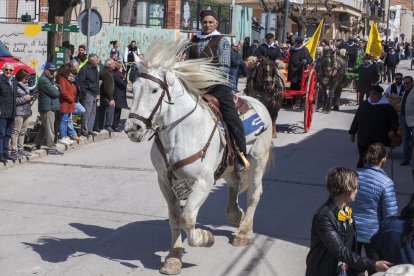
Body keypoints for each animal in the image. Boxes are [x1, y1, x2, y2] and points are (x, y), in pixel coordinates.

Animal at [124, 40, 274, 274]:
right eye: (135, 87)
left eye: (155, 90)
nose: (132, 129)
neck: (180, 132)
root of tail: (258, 103)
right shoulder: (164, 182)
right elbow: (175, 219)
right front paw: (173, 258)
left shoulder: (203, 182)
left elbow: (187, 218)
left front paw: (205, 238)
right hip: (227, 165)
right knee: (235, 183)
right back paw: (235, 215)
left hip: (258, 160)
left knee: (254, 194)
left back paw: (244, 232)